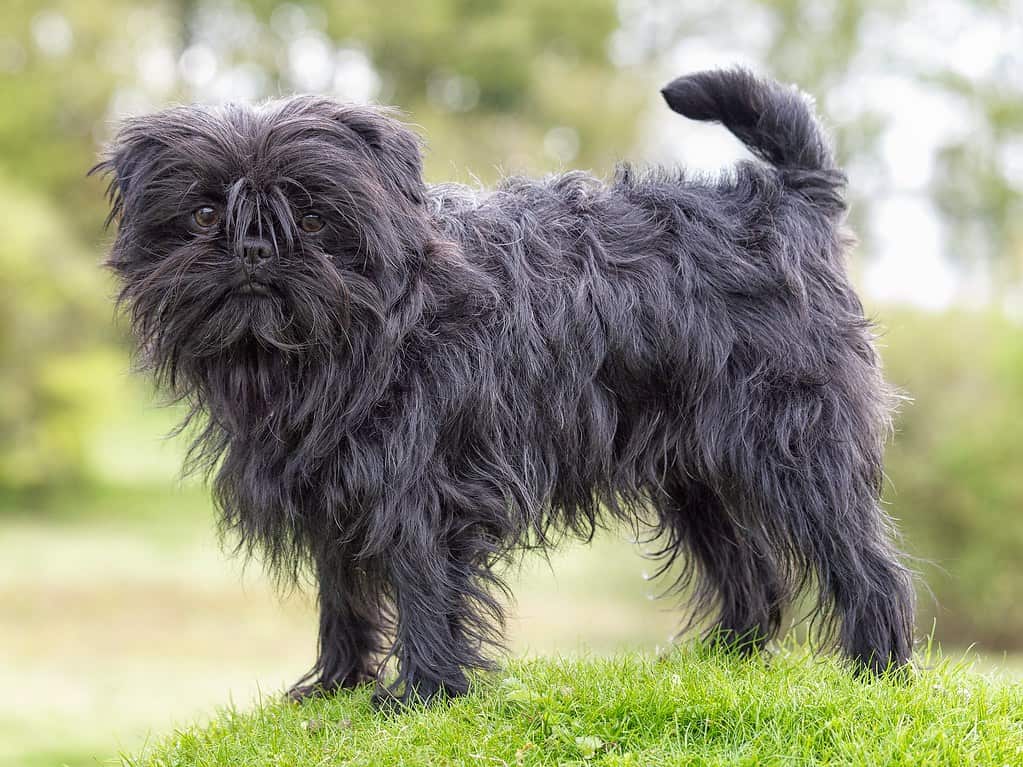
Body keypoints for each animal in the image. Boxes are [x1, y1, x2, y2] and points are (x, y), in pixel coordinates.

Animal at [96, 69, 916, 707]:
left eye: (314, 217)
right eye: (205, 212)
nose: (255, 247)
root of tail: (787, 200)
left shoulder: (421, 486)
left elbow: (423, 585)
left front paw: (420, 695)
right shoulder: (334, 484)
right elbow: (343, 593)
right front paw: (335, 687)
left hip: (795, 443)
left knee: (865, 563)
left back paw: (876, 671)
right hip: (692, 466)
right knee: (749, 571)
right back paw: (723, 663)